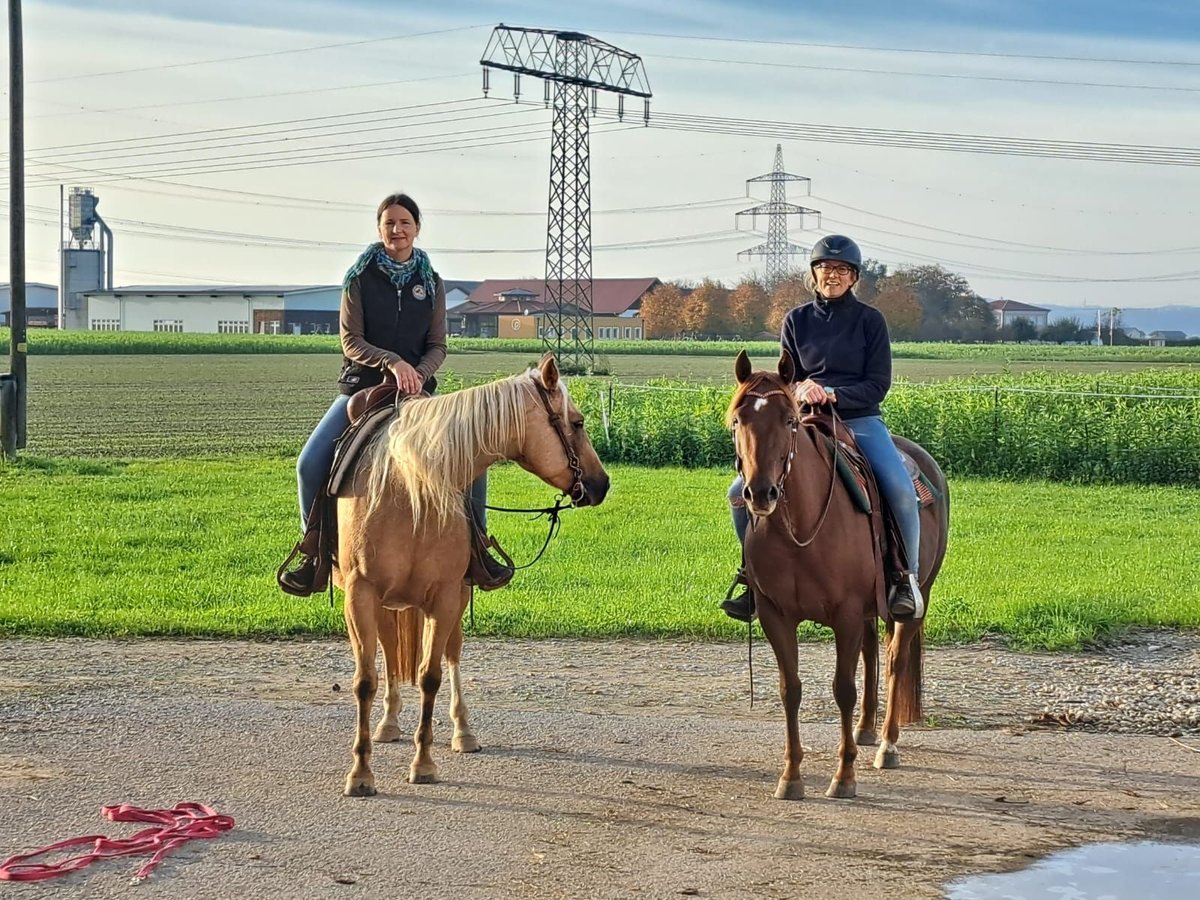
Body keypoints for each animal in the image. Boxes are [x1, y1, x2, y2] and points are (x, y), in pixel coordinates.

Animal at [333, 355, 609, 801]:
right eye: (579, 422)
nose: (602, 484)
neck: (411, 488)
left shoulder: (446, 596)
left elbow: (430, 676)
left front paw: (424, 764)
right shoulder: (360, 595)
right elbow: (365, 681)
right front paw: (360, 773)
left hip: (454, 598)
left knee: (450, 656)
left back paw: (463, 732)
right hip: (384, 603)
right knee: (390, 656)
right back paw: (388, 725)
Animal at [724, 352, 950, 801]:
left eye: (789, 420)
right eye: (739, 420)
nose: (760, 494)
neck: (801, 529)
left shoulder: (844, 614)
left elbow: (843, 689)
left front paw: (844, 776)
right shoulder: (776, 615)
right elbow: (790, 689)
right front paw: (791, 775)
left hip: (918, 596)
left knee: (894, 661)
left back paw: (886, 745)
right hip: (866, 611)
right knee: (871, 654)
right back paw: (865, 731)